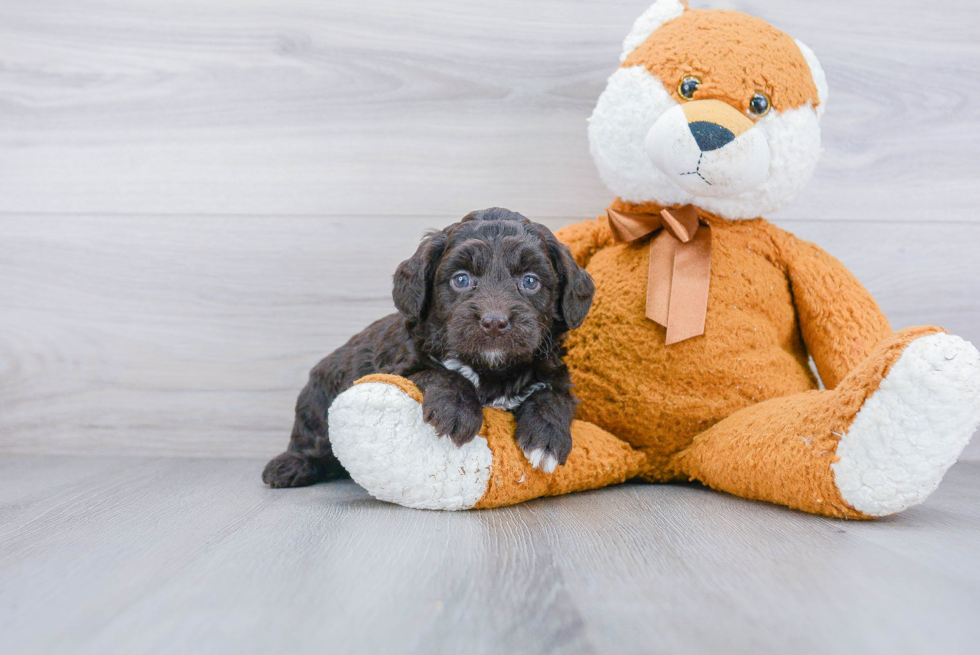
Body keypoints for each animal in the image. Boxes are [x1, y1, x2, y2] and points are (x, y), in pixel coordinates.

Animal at [262, 208, 596, 490]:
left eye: (530, 281)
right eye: (461, 279)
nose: (494, 322)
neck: (490, 370)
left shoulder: (555, 374)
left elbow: (552, 396)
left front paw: (547, 438)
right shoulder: (400, 366)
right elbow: (441, 373)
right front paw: (458, 411)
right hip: (317, 396)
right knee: (311, 435)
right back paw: (290, 465)